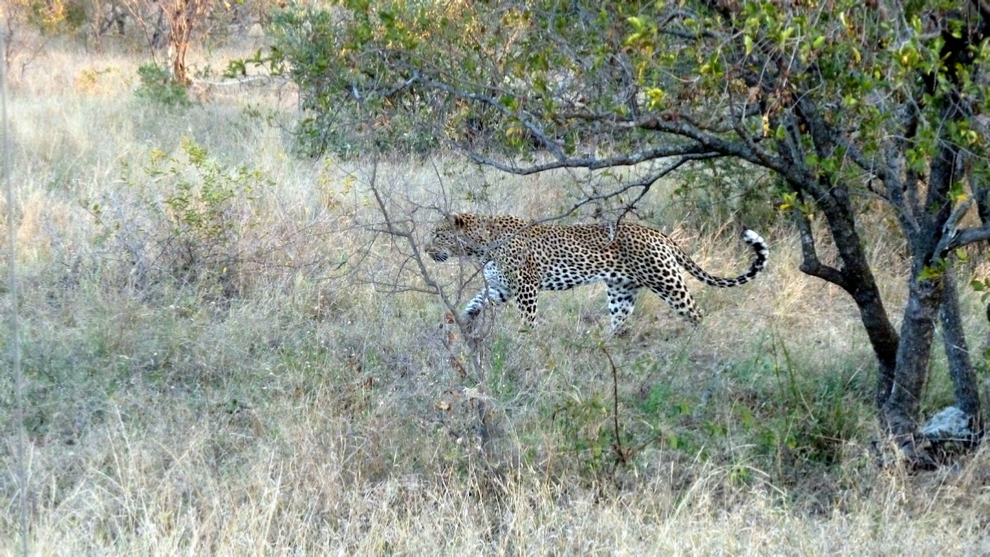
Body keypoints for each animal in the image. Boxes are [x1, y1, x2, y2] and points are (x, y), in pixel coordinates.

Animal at [424, 213, 768, 330]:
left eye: (438, 235)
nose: (427, 251)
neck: (480, 245)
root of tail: (659, 234)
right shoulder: (502, 288)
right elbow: (475, 301)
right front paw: (461, 320)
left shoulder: (525, 288)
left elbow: (528, 320)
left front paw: (526, 341)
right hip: (621, 290)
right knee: (619, 321)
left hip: (665, 280)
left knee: (695, 312)